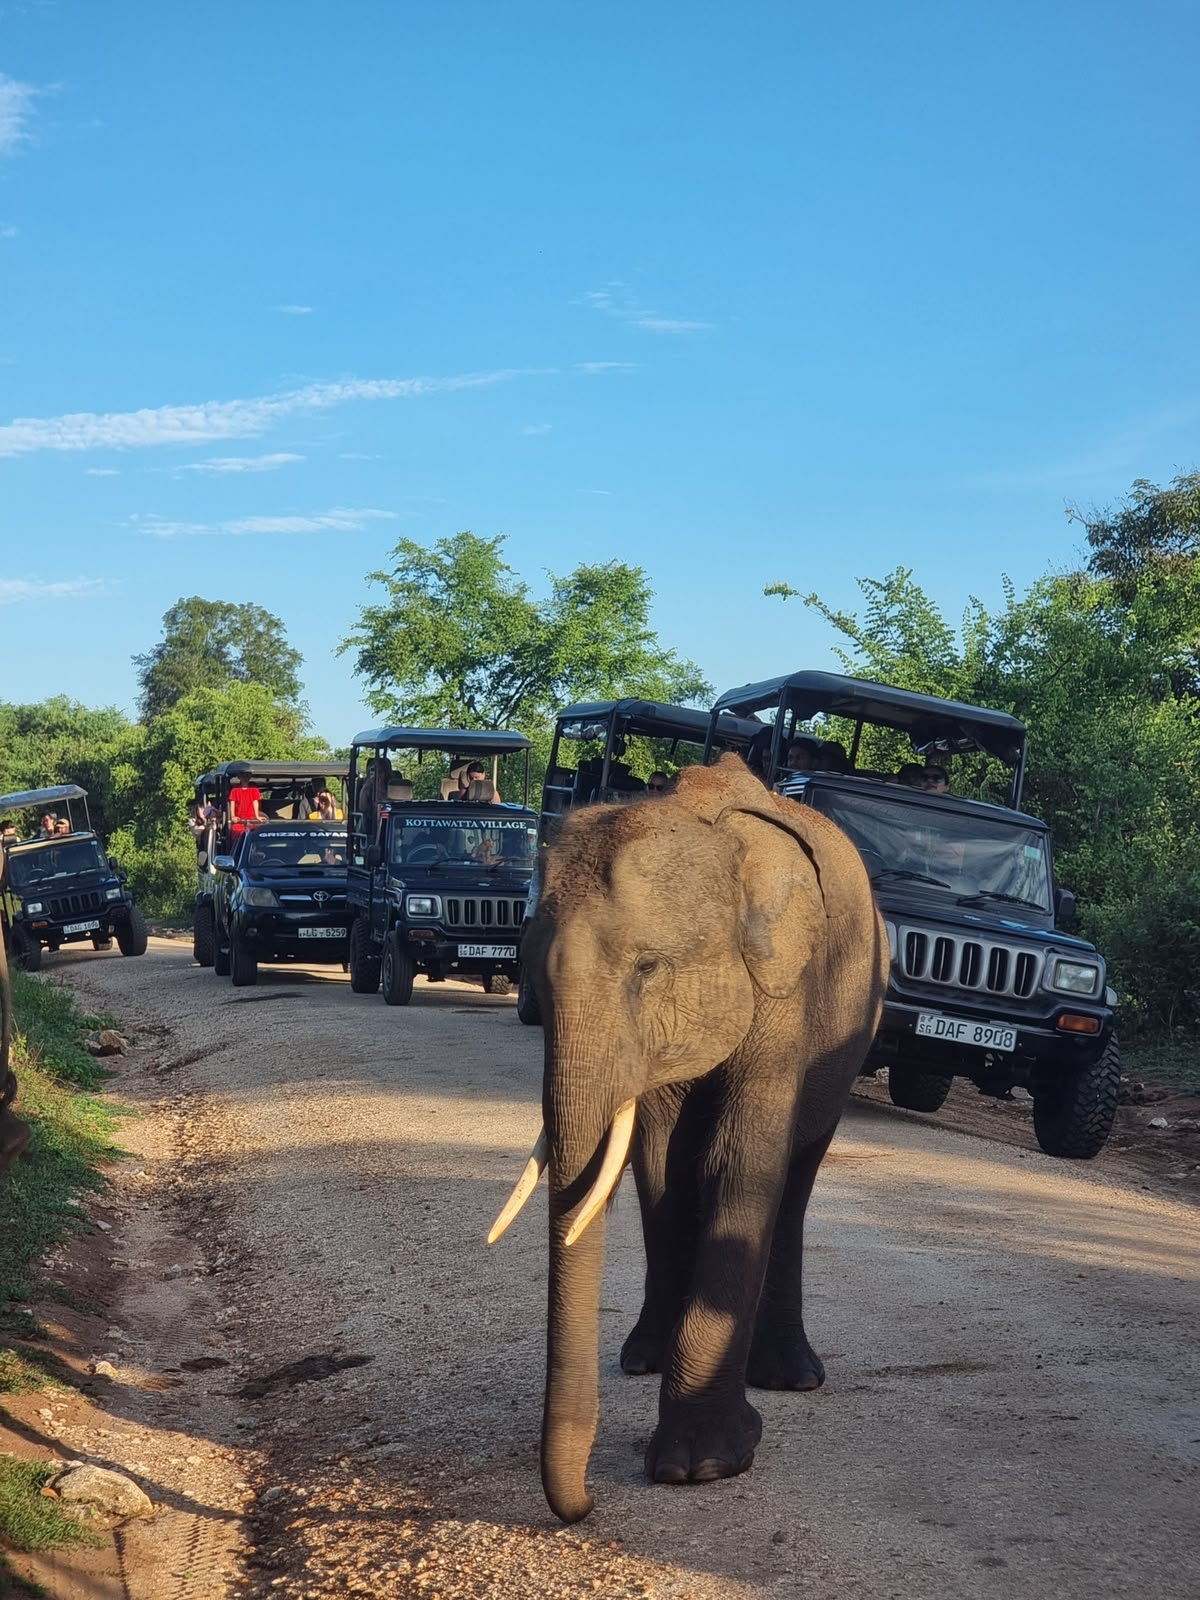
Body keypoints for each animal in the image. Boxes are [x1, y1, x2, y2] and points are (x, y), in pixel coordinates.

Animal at [489, 753, 888, 1523]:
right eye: (529, 979)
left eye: (648, 968)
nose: (583, 1505)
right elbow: (662, 1164)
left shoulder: (784, 988)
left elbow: (739, 1162)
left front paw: (700, 1468)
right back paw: (642, 1358)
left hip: (852, 1027)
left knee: (797, 1175)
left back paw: (791, 1379)